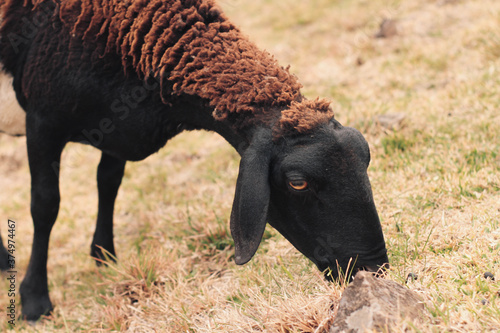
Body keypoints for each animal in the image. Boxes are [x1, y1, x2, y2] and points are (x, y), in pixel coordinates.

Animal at [0, 0, 388, 322]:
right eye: (297, 182)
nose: (373, 270)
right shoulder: (42, 122)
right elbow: (45, 205)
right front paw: (35, 301)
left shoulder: (116, 125)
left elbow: (108, 182)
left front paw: (103, 256)